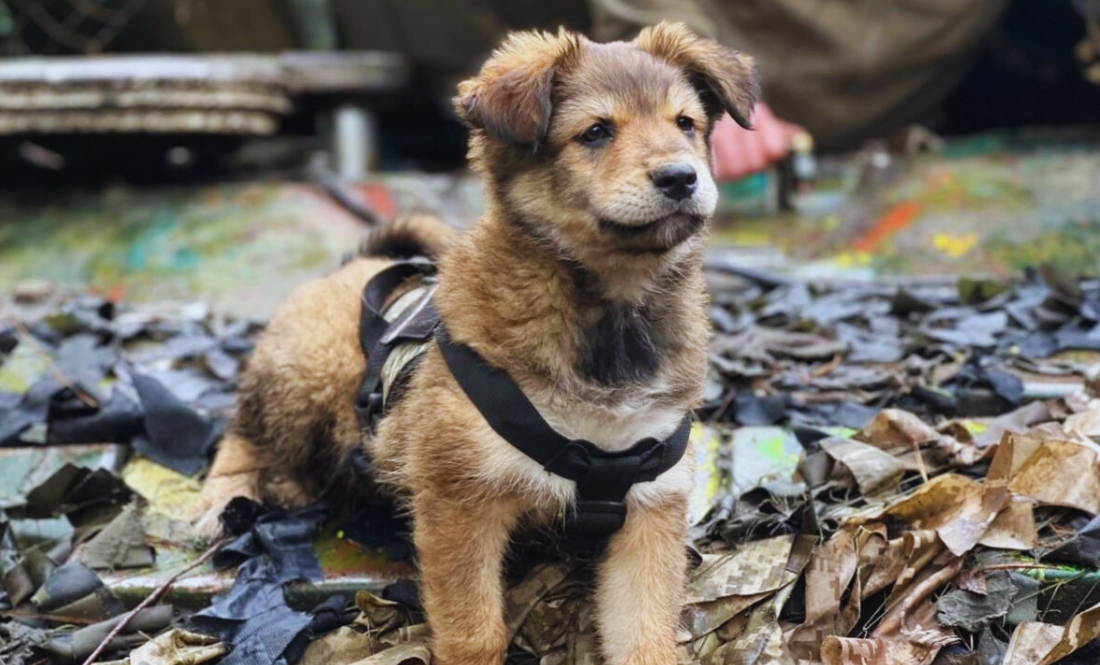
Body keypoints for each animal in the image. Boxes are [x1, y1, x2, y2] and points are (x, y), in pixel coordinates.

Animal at [191, 23, 756, 663]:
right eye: (595, 132)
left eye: (686, 124)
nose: (681, 177)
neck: (609, 322)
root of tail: (358, 265)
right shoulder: (460, 498)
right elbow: (474, 627)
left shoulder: (650, 508)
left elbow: (643, 635)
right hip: (303, 375)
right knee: (244, 430)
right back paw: (224, 499)